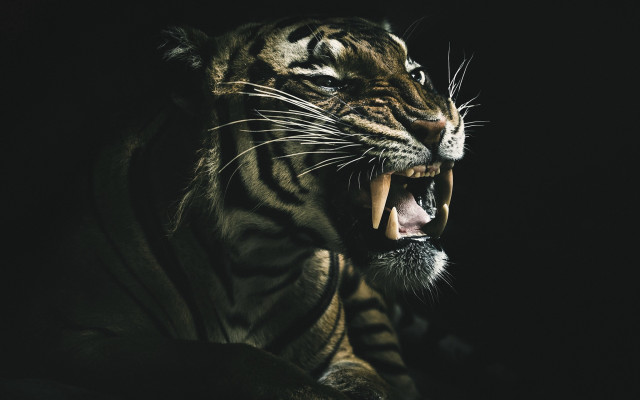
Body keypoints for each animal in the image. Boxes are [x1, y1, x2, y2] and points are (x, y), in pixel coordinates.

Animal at [3, 16, 465, 400]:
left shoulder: (346, 357)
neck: (256, 264)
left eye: (417, 74)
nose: (438, 124)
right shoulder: (72, 338)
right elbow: (229, 359)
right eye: (326, 82)